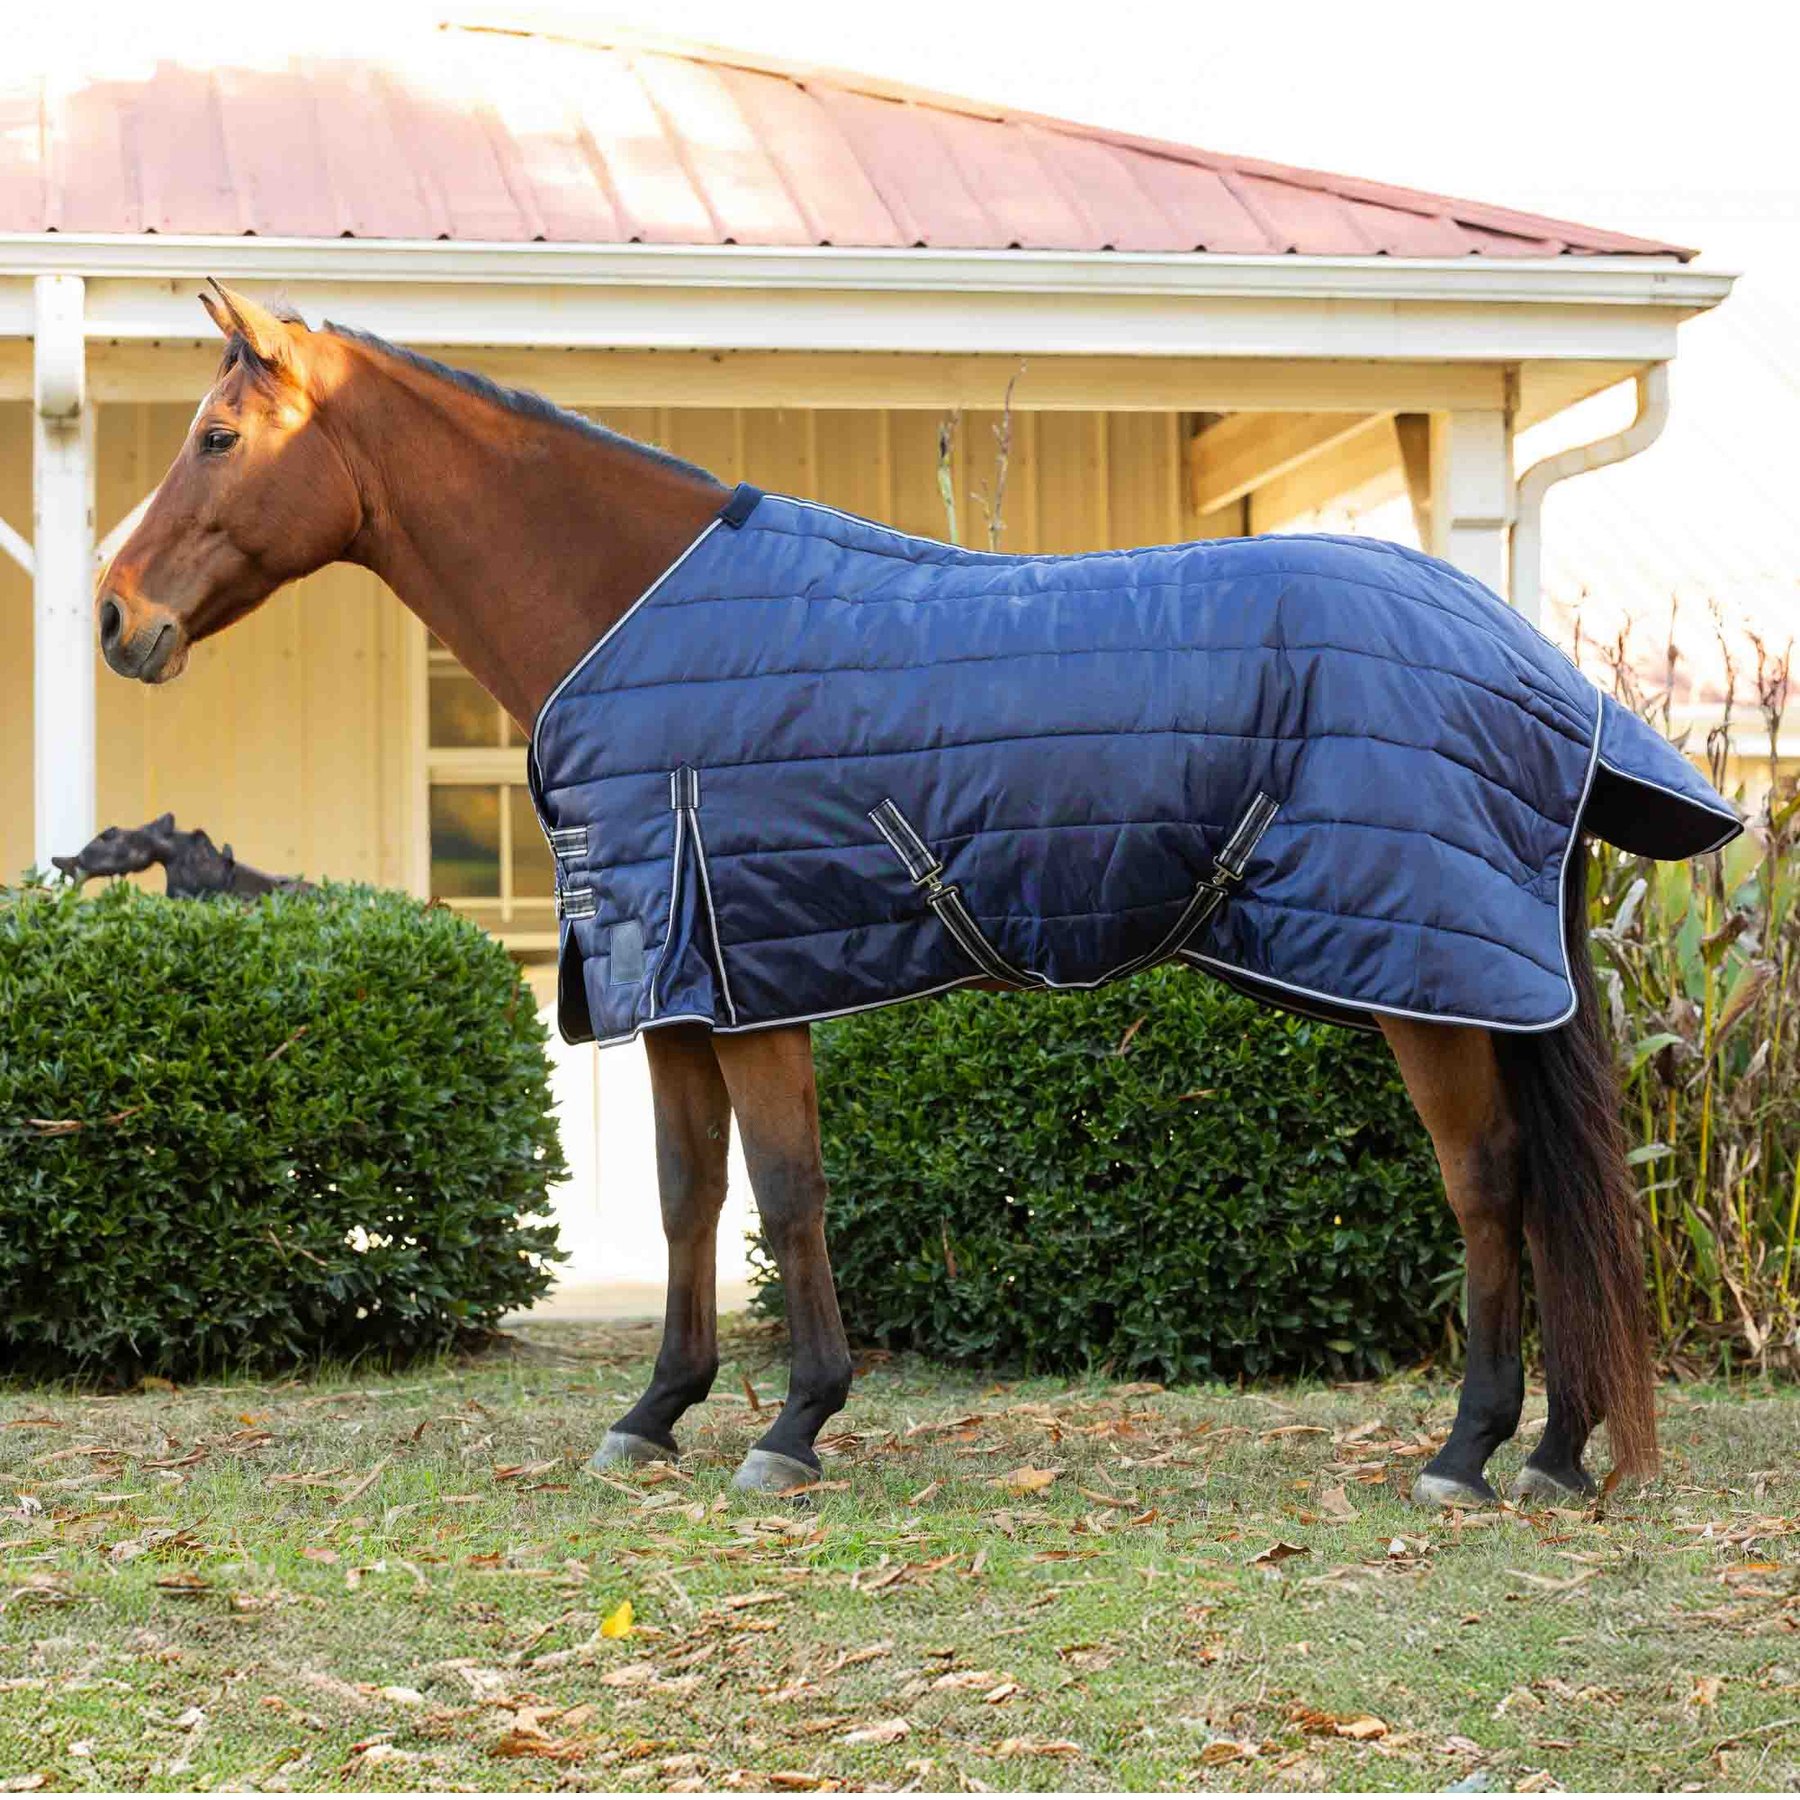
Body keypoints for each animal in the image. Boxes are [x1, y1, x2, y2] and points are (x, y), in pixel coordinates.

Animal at [94, 281, 1723, 1502]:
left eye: (219, 434)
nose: (117, 619)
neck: (635, 620)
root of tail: (1536, 670)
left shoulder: (748, 982)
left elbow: (788, 1191)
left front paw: (791, 1424)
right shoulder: (681, 990)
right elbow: (693, 1196)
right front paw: (656, 1412)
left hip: (1432, 986)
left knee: (1492, 1183)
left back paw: (1472, 1451)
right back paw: (1559, 1452)